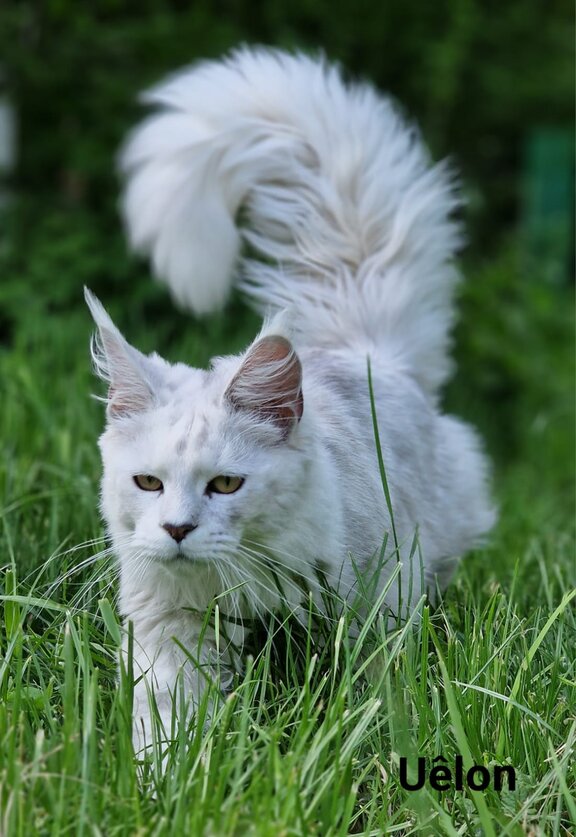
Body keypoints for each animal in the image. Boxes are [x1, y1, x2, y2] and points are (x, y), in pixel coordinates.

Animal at [85, 45, 496, 752]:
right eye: (147, 483)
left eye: (226, 484)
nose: (177, 530)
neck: (242, 585)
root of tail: (366, 351)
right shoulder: (169, 622)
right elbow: (168, 722)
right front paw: (170, 773)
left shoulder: (374, 601)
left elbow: (372, 701)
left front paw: (371, 747)